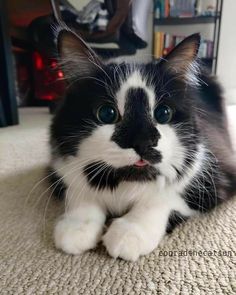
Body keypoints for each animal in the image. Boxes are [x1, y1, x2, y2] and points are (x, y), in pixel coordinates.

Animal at [48, 30, 235, 262]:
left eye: (163, 113)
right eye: (106, 113)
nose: (143, 143)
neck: (125, 180)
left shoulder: (215, 175)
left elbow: (162, 197)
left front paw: (130, 231)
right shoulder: (60, 168)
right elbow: (79, 190)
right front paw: (77, 226)